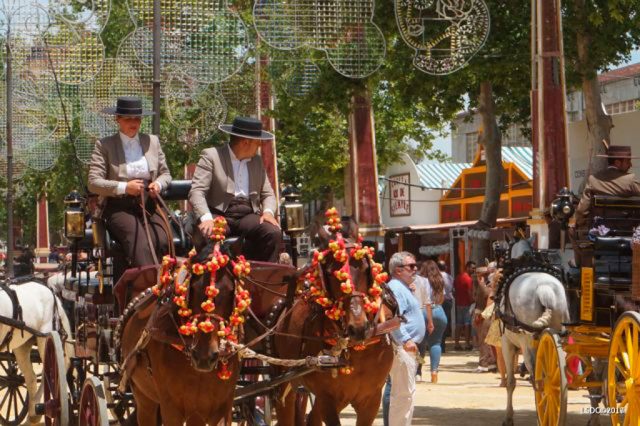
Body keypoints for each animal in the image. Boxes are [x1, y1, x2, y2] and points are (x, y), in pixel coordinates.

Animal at [0, 282, 73, 424]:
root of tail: (51, 292)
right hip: (21, 347)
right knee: (31, 378)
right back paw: (33, 413)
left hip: (45, 339)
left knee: (48, 373)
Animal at [120, 245, 242, 424]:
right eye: (194, 287)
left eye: (230, 290)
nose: (204, 357)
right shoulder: (171, 407)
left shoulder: (223, 407)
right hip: (144, 398)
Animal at [274, 218, 396, 424]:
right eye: (331, 273)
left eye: (365, 268)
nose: (358, 328)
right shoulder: (327, 398)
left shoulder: (371, 399)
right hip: (285, 379)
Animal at [500, 238, 568, 426]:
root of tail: (544, 289)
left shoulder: (506, 343)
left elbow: (511, 382)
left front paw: (508, 417)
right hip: (559, 331)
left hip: (526, 341)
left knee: (535, 375)